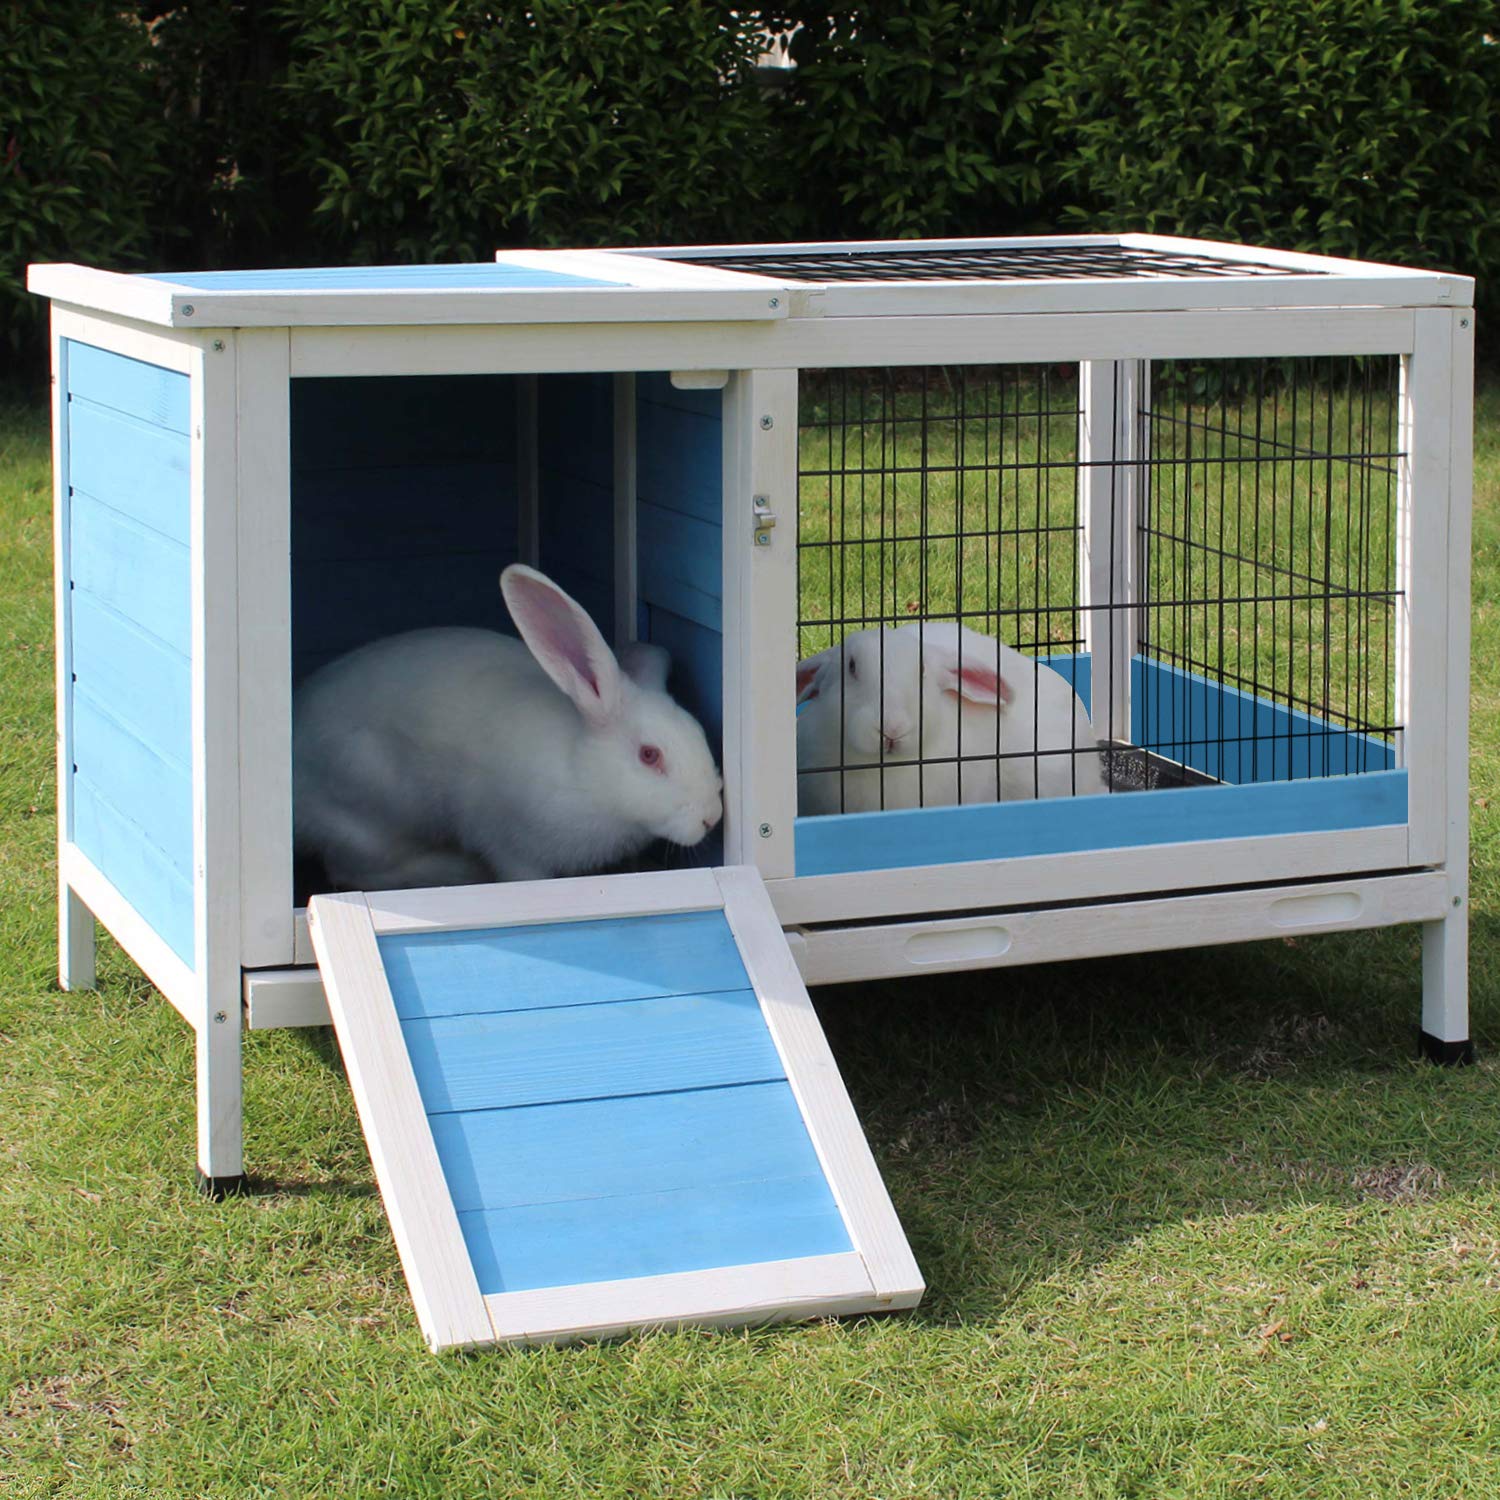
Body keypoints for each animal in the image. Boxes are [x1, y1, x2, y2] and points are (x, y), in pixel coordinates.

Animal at [294, 563, 723, 891]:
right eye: (650, 755)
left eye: (700, 734)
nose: (712, 817)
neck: (583, 770)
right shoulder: (513, 846)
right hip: (368, 810)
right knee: (353, 871)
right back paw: (455, 869)